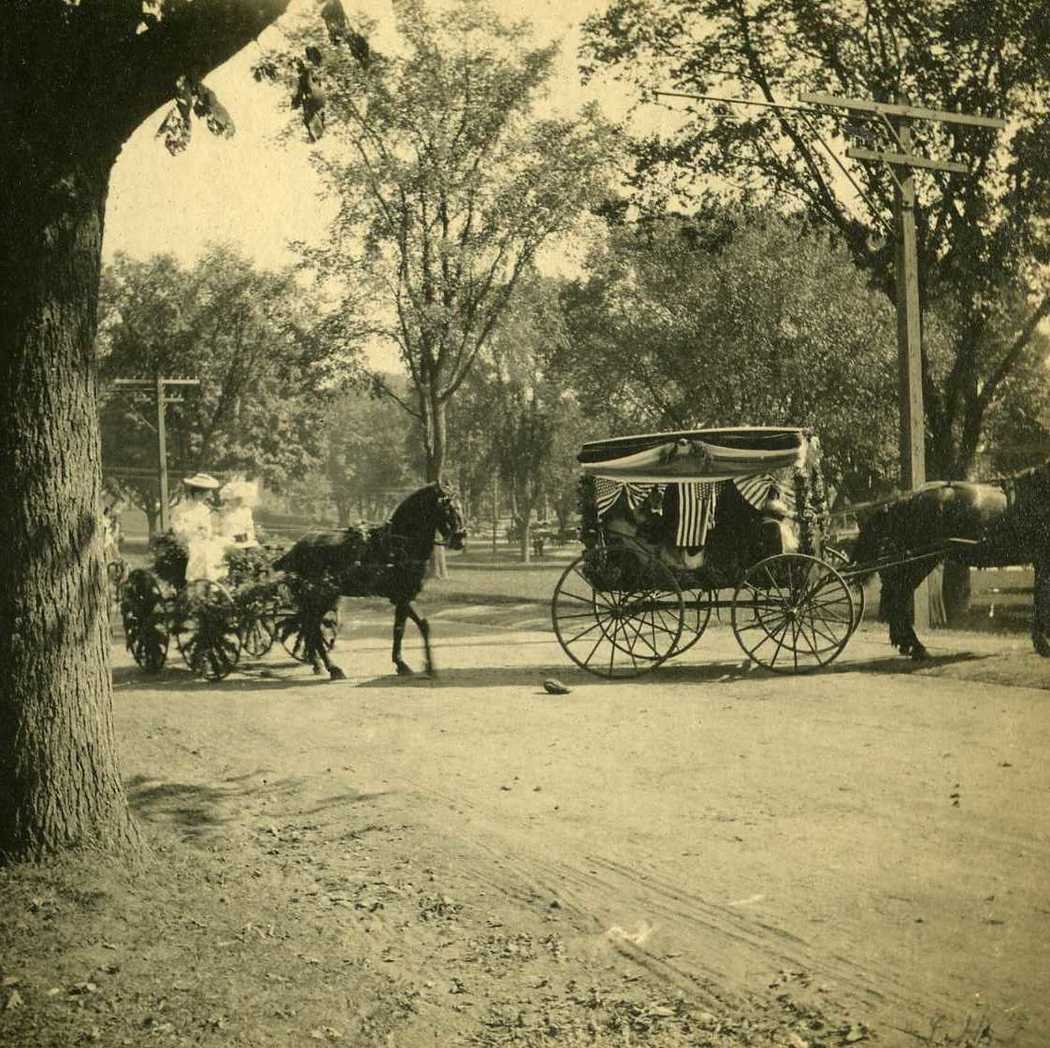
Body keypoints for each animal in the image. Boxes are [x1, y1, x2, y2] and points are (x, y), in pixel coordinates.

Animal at [273, 483, 466, 680]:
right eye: (448, 507)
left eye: (460, 506)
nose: (460, 537)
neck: (399, 544)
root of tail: (299, 545)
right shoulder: (402, 597)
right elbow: (399, 629)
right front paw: (401, 664)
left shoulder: (405, 596)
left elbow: (423, 625)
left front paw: (429, 666)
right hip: (320, 596)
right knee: (311, 627)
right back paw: (333, 668)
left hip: (323, 597)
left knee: (310, 627)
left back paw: (318, 664)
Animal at [852, 466, 1050, 659]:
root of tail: (905, 499)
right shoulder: (1044, 560)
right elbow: (1042, 599)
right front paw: (1043, 643)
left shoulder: (1041, 561)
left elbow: (1039, 597)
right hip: (919, 562)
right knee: (898, 596)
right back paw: (915, 646)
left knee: (896, 595)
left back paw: (907, 644)